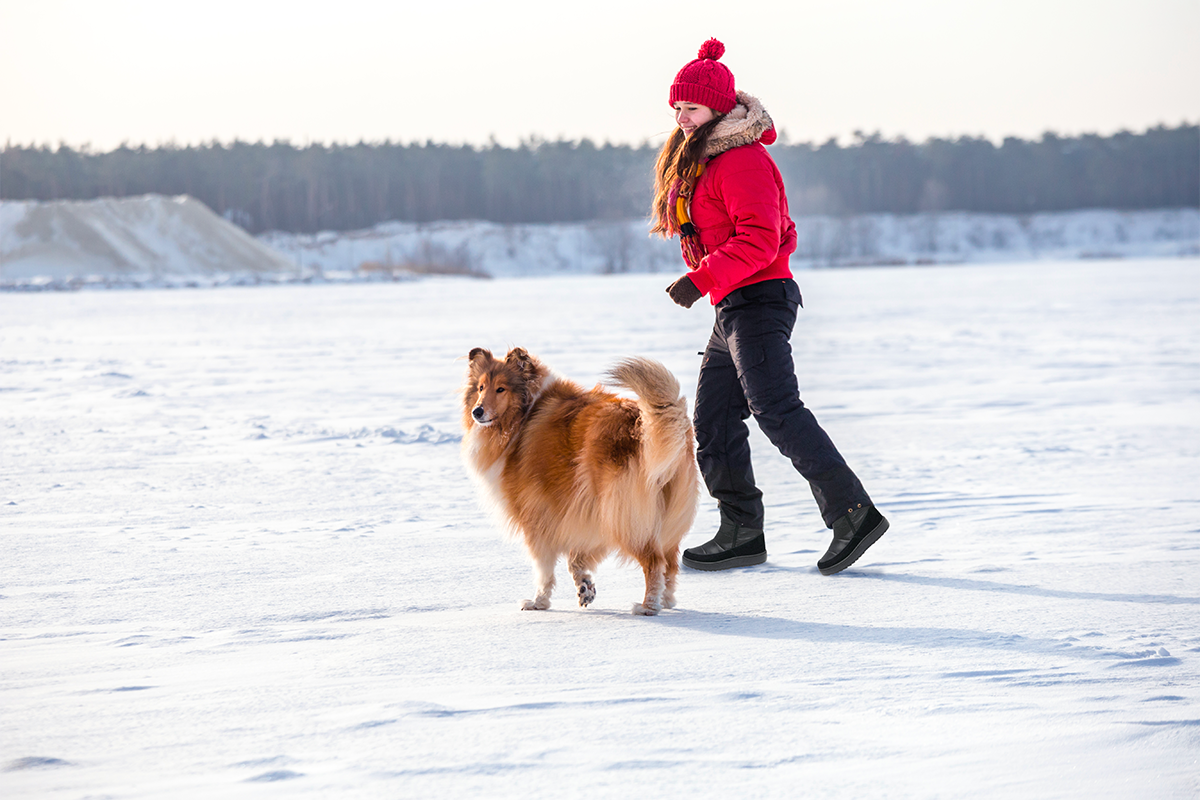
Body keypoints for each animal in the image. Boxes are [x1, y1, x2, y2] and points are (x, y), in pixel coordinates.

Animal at [460, 347, 700, 618]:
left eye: (501, 389)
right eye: (481, 387)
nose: (477, 412)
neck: (524, 414)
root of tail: (642, 425)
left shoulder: (537, 517)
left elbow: (544, 569)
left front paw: (539, 602)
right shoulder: (585, 513)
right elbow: (576, 558)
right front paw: (585, 587)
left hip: (623, 516)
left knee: (654, 562)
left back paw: (648, 606)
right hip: (649, 517)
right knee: (670, 563)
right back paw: (666, 600)